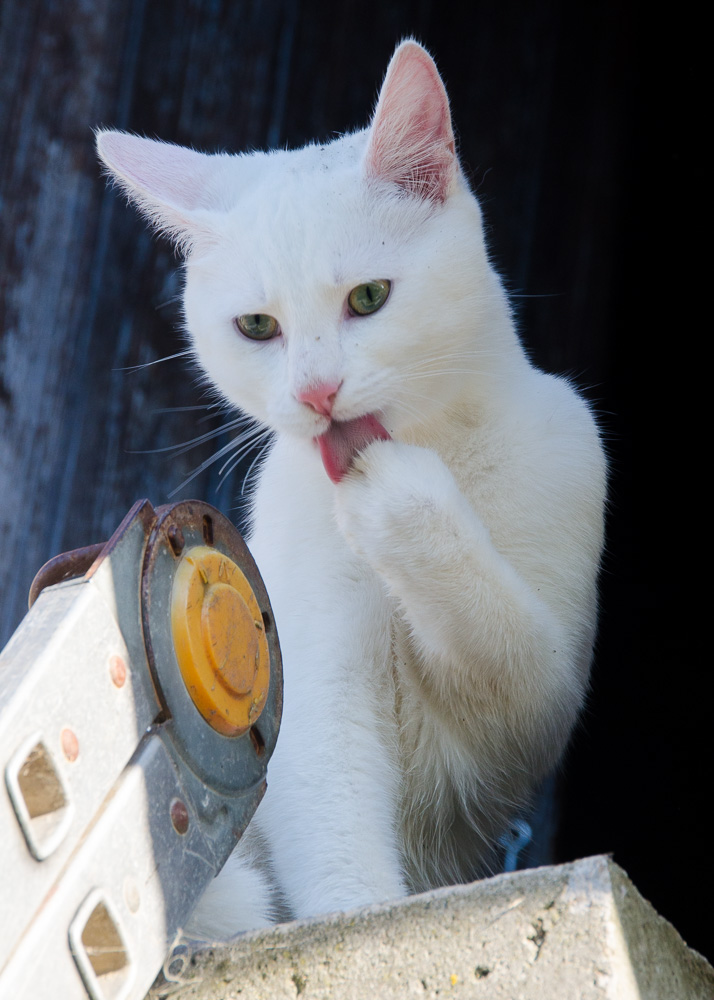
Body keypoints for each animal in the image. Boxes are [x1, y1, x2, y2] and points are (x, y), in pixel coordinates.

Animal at [96, 37, 608, 928]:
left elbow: (511, 656)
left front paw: (397, 498)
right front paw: (354, 913)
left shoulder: (540, 703)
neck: (437, 439)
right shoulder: (308, 670)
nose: (316, 392)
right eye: (256, 326)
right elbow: (329, 815)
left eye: (369, 298)